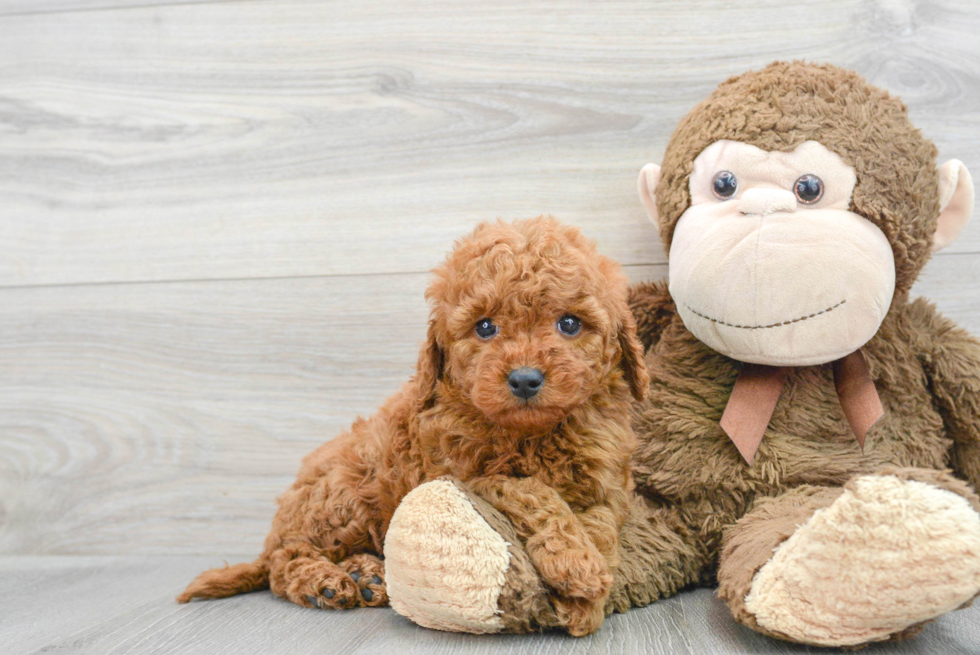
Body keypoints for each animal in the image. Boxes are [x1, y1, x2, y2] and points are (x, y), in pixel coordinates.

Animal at [178, 218, 652, 640]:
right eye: (485, 327)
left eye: (569, 323)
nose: (524, 379)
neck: (532, 433)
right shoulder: (469, 476)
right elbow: (529, 490)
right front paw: (577, 566)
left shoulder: (606, 482)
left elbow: (602, 523)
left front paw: (587, 582)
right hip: (346, 492)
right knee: (284, 559)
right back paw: (323, 582)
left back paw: (366, 575)